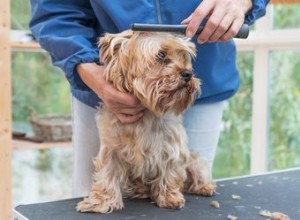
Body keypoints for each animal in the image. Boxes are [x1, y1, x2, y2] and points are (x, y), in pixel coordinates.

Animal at [76, 30, 214, 212]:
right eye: (161, 55)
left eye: (184, 56)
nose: (187, 73)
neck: (146, 110)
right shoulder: (111, 149)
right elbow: (106, 174)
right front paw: (99, 202)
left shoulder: (171, 147)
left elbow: (170, 171)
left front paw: (170, 197)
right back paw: (141, 190)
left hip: (195, 161)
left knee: (197, 172)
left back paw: (205, 187)